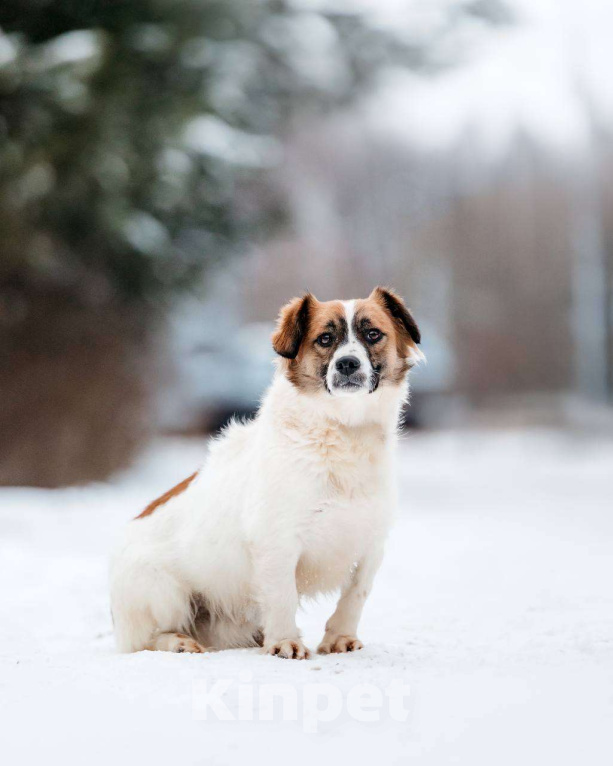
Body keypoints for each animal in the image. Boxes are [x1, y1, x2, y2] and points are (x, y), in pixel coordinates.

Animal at [110, 288, 420, 660]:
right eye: (325, 339)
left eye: (373, 334)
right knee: (147, 639)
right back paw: (180, 642)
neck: (343, 430)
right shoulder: (277, 540)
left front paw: (339, 638)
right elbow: (282, 595)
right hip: (163, 590)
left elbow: (355, 594)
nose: (347, 363)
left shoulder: (371, 540)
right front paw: (285, 641)